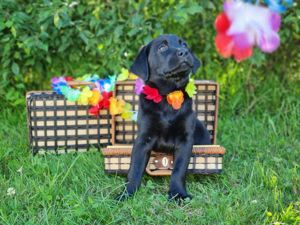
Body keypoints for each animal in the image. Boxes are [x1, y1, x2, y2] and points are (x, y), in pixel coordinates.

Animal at [117, 34, 211, 201]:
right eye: (162, 47)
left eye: (184, 45)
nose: (184, 52)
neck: (168, 96)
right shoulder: (143, 138)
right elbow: (134, 168)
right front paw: (127, 193)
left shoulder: (185, 140)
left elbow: (179, 169)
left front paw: (178, 193)